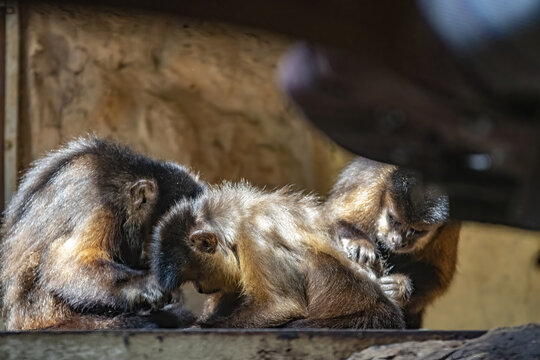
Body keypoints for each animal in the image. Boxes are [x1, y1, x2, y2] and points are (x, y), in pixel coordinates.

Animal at [324, 158, 460, 330]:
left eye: (417, 231)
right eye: (394, 220)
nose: (399, 241)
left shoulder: (453, 221)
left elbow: (437, 273)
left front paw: (401, 288)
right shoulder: (372, 182)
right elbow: (330, 219)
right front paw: (360, 243)